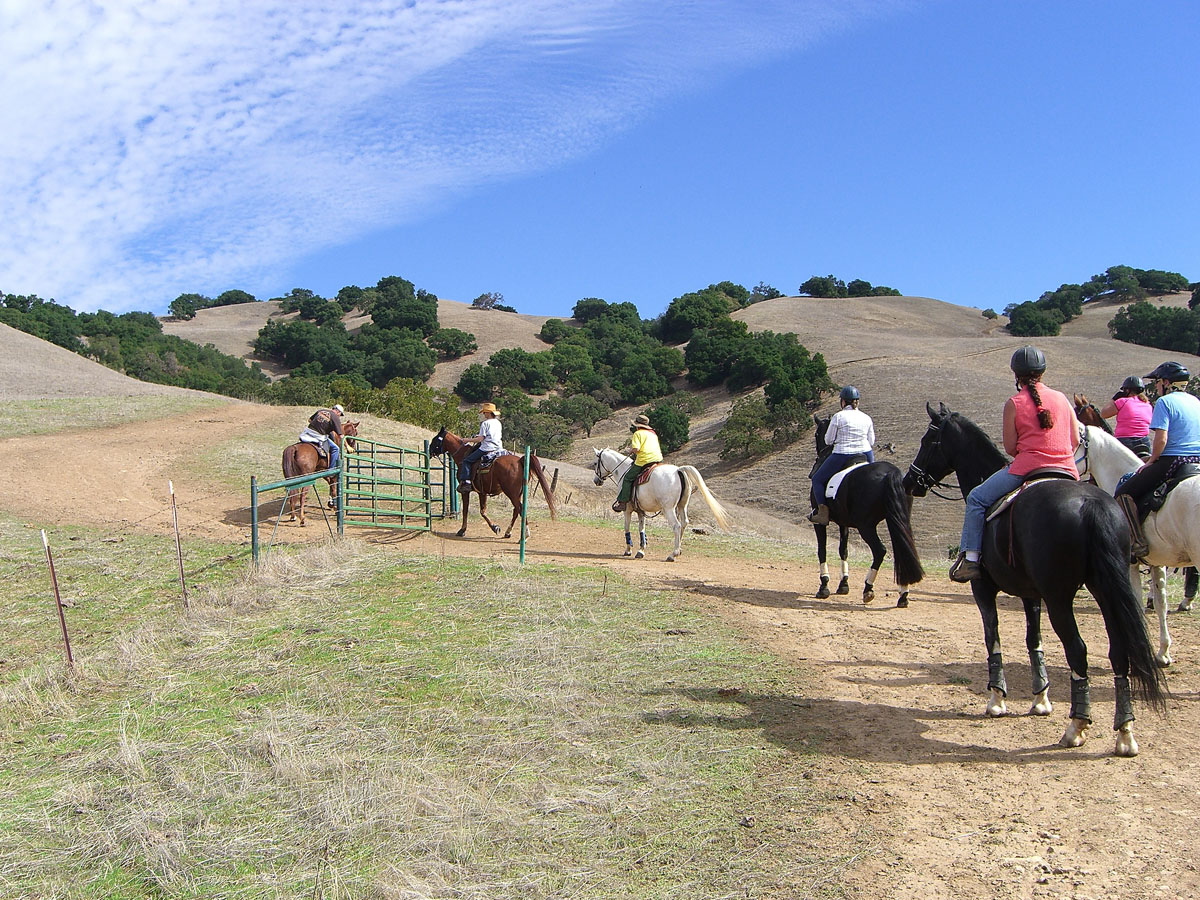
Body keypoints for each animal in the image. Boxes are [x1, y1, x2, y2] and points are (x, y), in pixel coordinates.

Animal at [592, 448, 729, 561]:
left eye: (595, 463)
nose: (596, 480)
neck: (622, 471)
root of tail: (678, 470)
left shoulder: (628, 510)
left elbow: (627, 528)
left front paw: (628, 550)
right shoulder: (641, 511)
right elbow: (642, 529)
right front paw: (641, 550)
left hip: (669, 509)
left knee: (677, 526)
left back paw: (673, 554)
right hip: (682, 506)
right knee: (684, 523)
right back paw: (679, 550)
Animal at [806, 415, 926, 607]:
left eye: (817, 433)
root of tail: (891, 473)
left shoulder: (820, 522)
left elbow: (822, 550)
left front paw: (824, 586)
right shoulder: (844, 522)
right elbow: (843, 550)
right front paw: (843, 584)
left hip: (866, 526)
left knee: (880, 551)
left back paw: (868, 588)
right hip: (898, 520)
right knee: (903, 549)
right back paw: (903, 594)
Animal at [902, 405, 1166, 758]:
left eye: (929, 440)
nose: (910, 480)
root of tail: (1091, 504)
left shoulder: (984, 590)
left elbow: (993, 639)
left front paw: (997, 698)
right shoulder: (1030, 595)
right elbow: (1033, 642)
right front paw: (1040, 698)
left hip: (1060, 599)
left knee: (1078, 651)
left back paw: (1076, 726)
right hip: (1105, 591)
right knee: (1119, 652)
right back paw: (1125, 733)